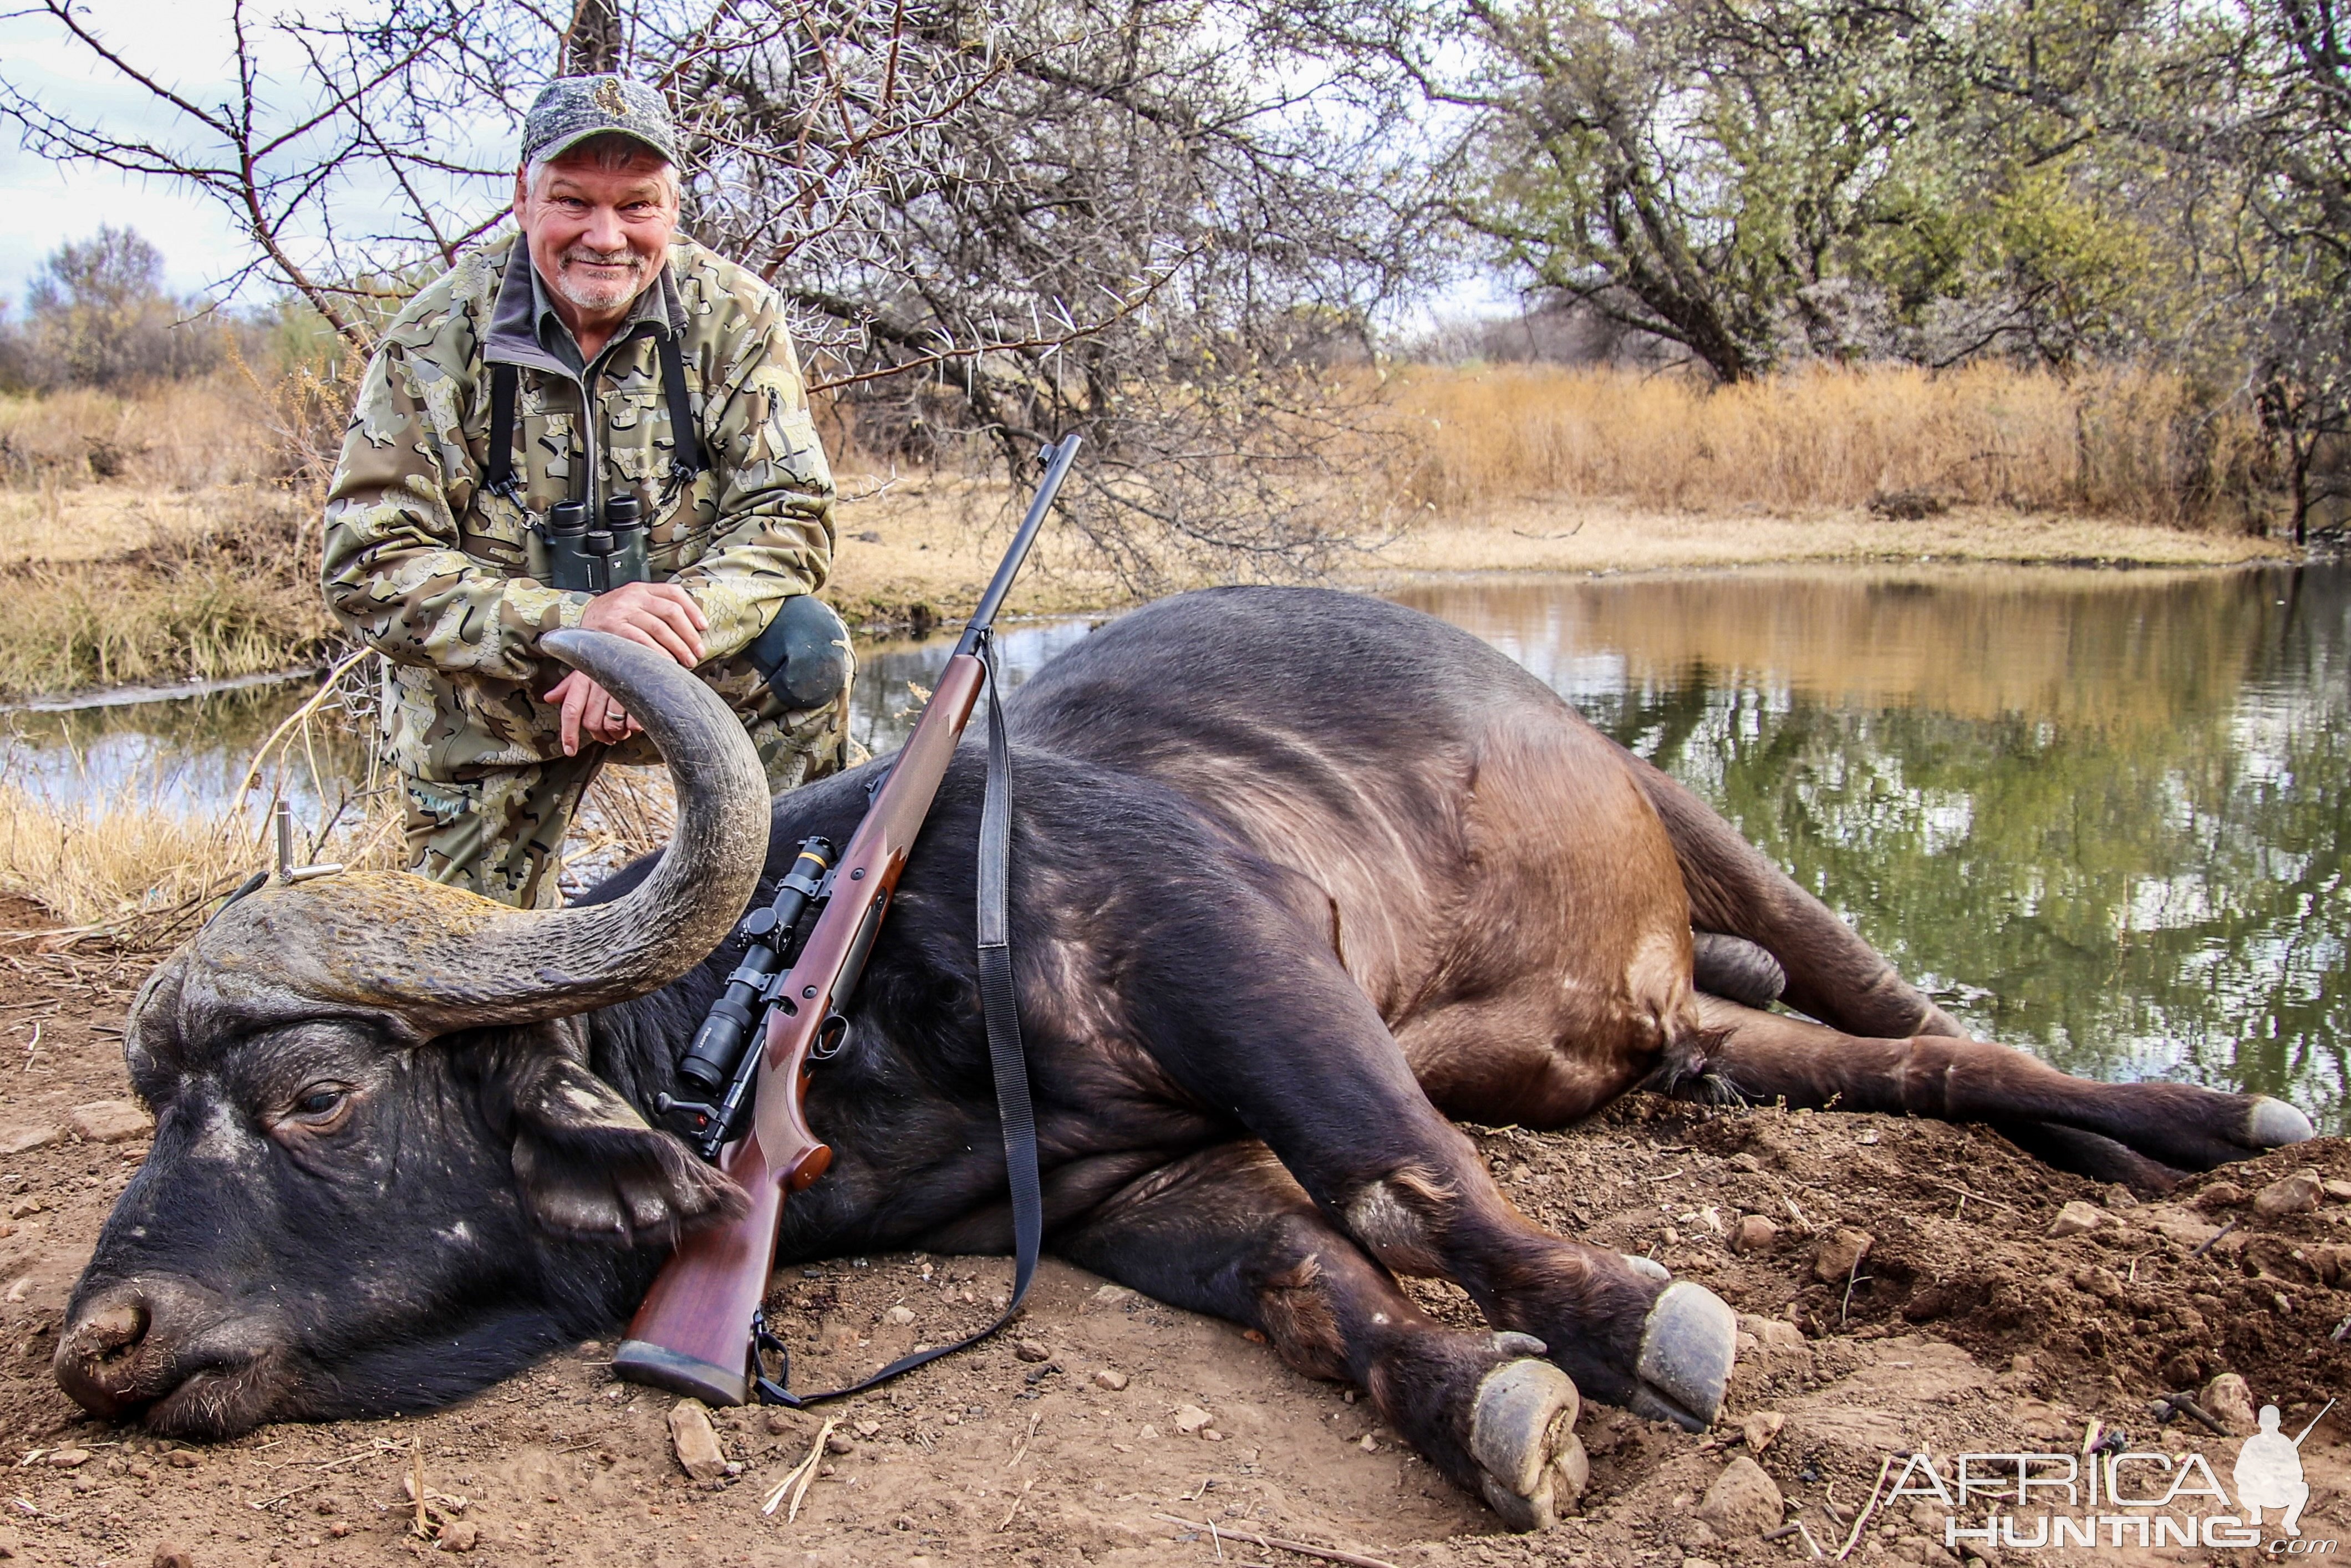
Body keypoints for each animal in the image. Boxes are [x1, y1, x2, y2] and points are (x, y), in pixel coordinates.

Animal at [55, 587, 2313, 1533]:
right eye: (150, 1110)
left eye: (315, 1094)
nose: (96, 1342)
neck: (835, 1018)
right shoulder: (1133, 1195)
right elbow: (1314, 1284)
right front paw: (1490, 1405)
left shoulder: (1244, 966)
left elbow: (1404, 1186)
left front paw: (1636, 1327)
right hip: (1658, 1040)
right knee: (1880, 1074)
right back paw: (2162, 1134)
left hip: (1699, 828)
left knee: (1923, 1018)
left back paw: (2215, 1113)